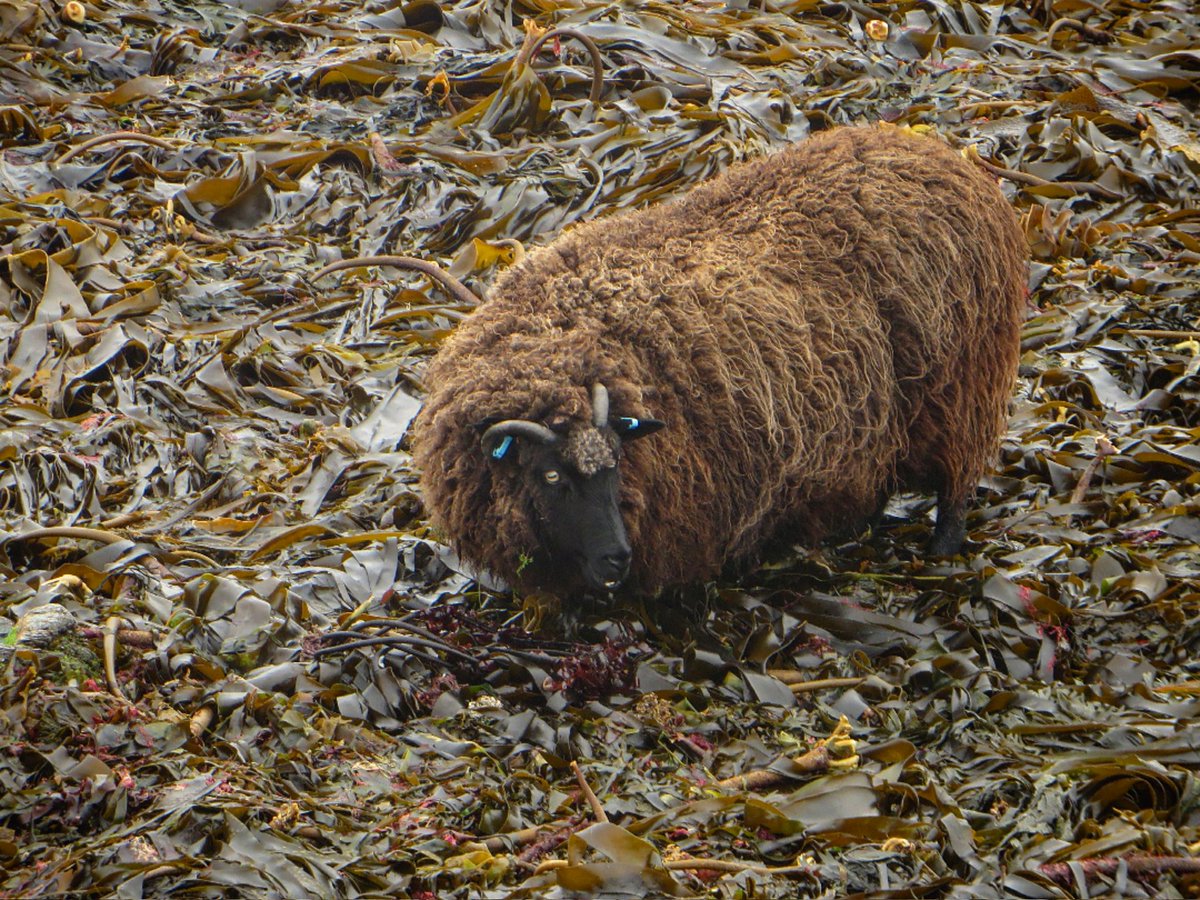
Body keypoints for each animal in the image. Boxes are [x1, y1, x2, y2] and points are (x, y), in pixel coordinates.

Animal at [408, 121, 1027, 600]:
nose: (617, 557)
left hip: (961, 388)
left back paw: (940, 555)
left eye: (618, 463)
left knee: (957, 487)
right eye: (551, 474)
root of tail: (945, 159)